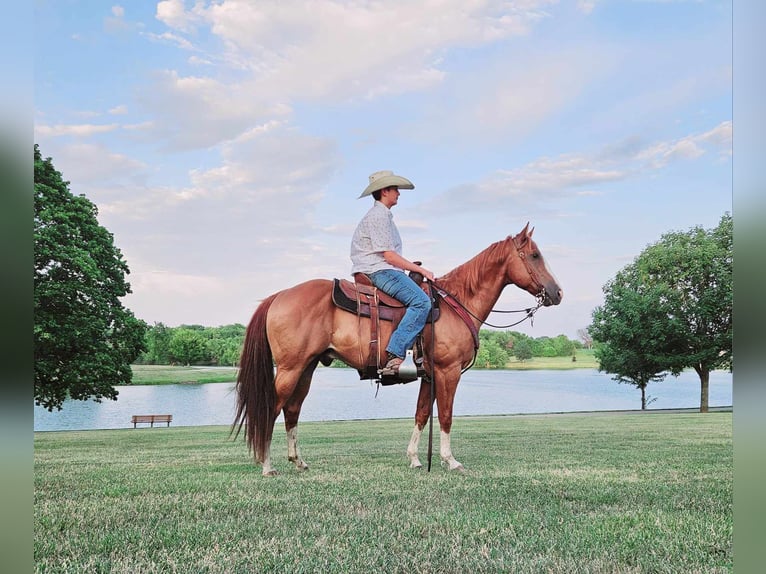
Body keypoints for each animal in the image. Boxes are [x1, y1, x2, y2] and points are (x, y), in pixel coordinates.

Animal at [234, 225, 564, 476]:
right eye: (535, 255)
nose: (557, 292)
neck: (456, 302)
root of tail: (279, 296)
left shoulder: (429, 376)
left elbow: (421, 414)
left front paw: (416, 459)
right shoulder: (448, 372)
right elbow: (446, 416)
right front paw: (450, 461)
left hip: (307, 367)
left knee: (292, 410)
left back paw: (298, 461)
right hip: (290, 368)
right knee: (272, 409)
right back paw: (267, 466)